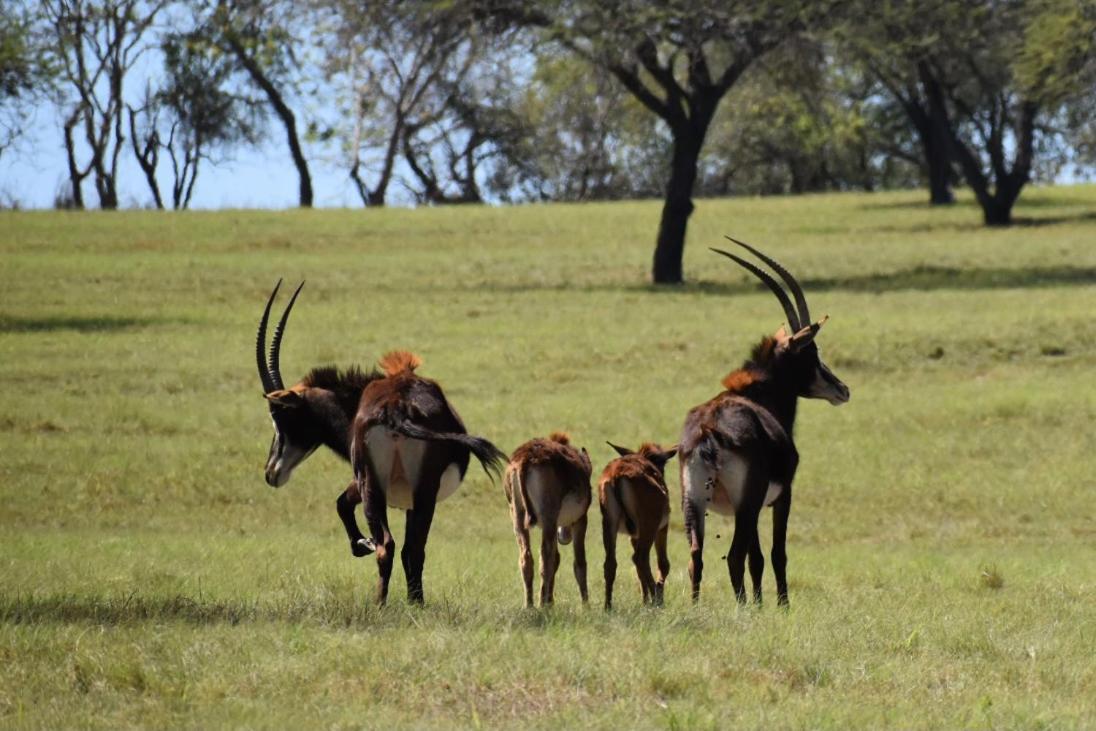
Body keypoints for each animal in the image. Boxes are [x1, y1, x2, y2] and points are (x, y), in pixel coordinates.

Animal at [348, 352, 506, 604]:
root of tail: (396, 405)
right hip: (422, 492)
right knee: (412, 548)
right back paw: (414, 602)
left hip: (373, 487)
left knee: (388, 546)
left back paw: (384, 603)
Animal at [501, 431, 591, 609]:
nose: (565, 537)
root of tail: (525, 458)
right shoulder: (580, 520)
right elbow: (579, 563)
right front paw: (586, 606)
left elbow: (557, 558)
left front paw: (551, 601)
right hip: (549, 518)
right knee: (545, 558)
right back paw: (542, 604)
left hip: (518, 516)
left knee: (527, 558)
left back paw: (529, 605)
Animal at [600, 442, 675, 609]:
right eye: (663, 463)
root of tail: (616, 475)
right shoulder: (662, 527)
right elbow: (663, 563)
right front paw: (653, 598)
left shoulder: (634, 535)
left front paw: (644, 601)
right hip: (650, 524)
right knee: (640, 557)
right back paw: (657, 600)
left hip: (609, 521)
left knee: (611, 563)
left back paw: (608, 606)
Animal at [679, 240, 850, 604]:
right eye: (812, 352)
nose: (842, 389)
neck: (757, 395)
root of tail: (708, 433)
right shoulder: (780, 497)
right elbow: (775, 554)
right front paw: (781, 606)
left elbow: (756, 558)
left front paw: (760, 604)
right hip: (746, 503)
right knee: (733, 556)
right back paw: (741, 608)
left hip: (694, 502)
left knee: (696, 556)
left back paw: (698, 606)